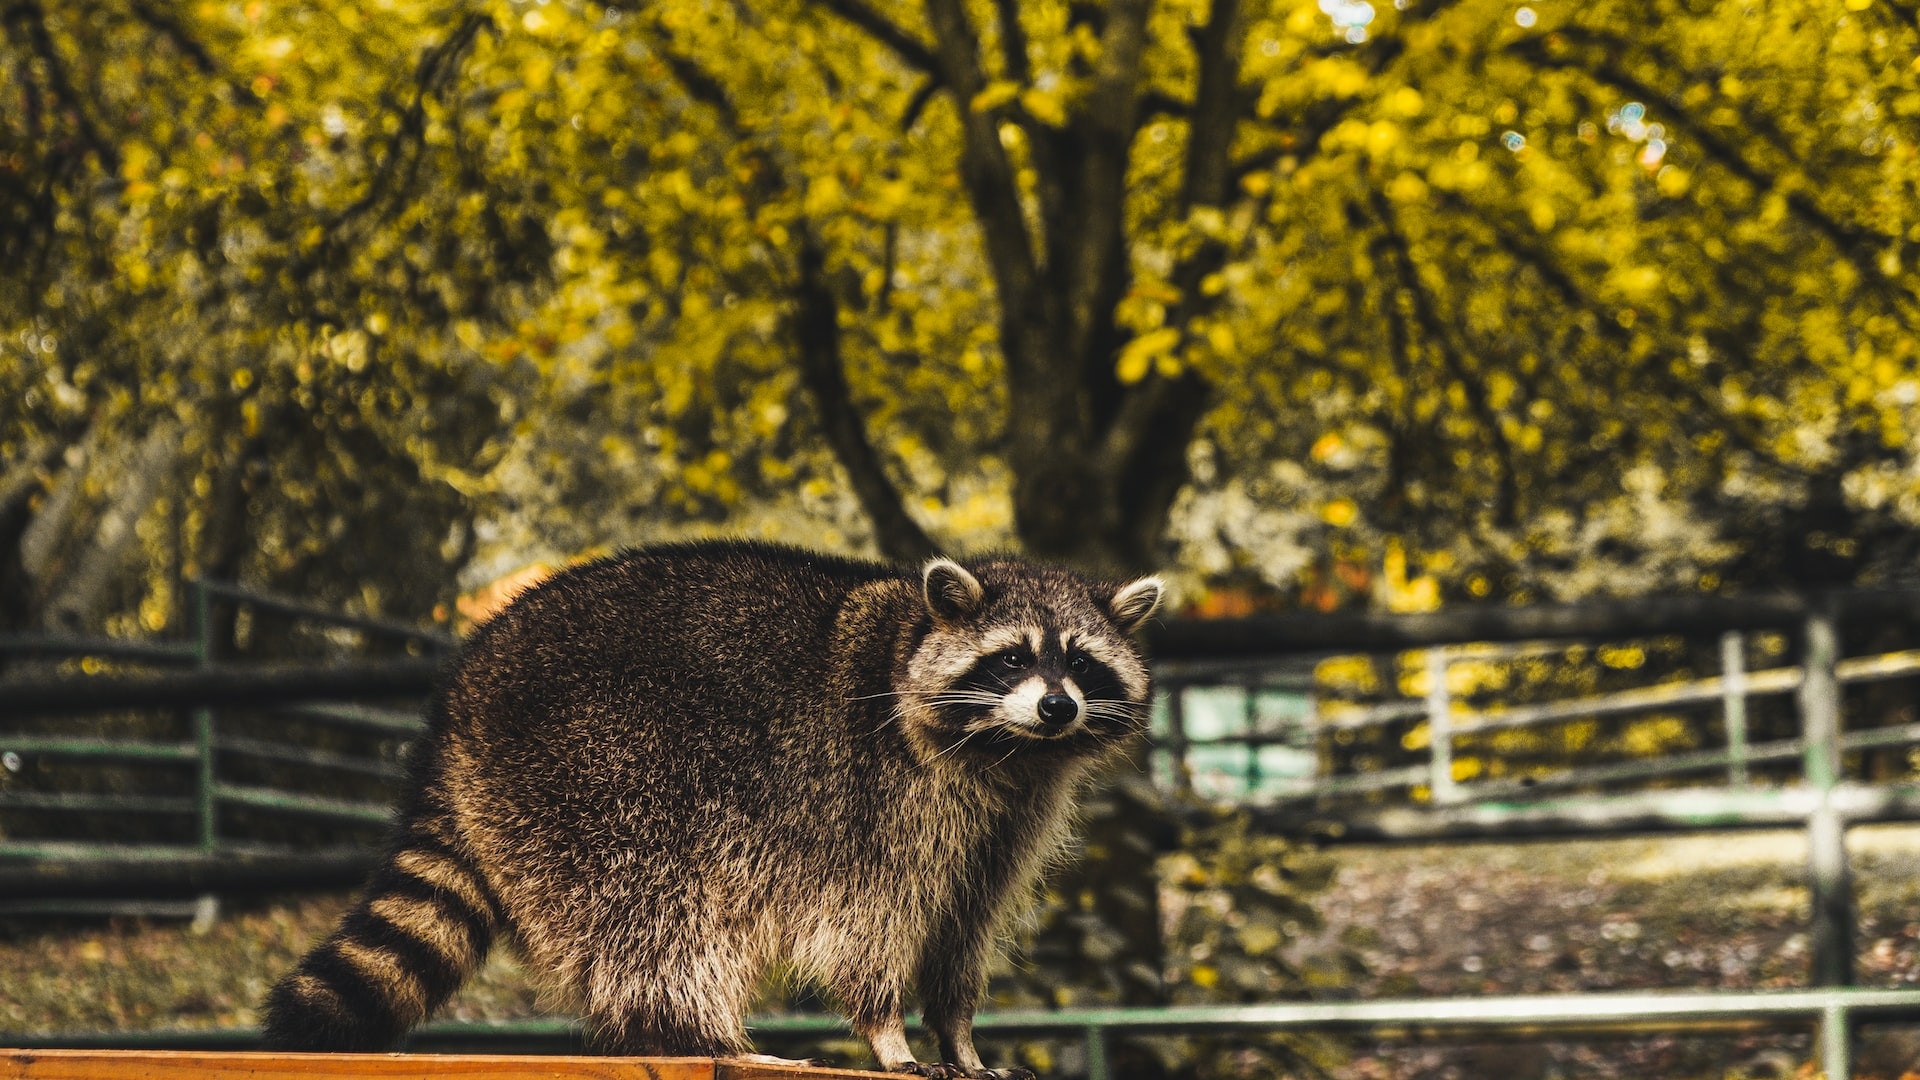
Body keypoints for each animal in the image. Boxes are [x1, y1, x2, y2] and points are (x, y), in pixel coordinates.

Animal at [263, 541, 1159, 1068]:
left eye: (1081, 664)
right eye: (1010, 659)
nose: (1058, 707)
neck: (1009, 751)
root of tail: (458, 696)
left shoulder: (1004, 825)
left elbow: (962, 928)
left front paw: (960, 1034)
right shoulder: (879, 800)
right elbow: (867, 925)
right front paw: (886, 1028)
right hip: (590, 772)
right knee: (650, 914)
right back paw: (697, 1032)